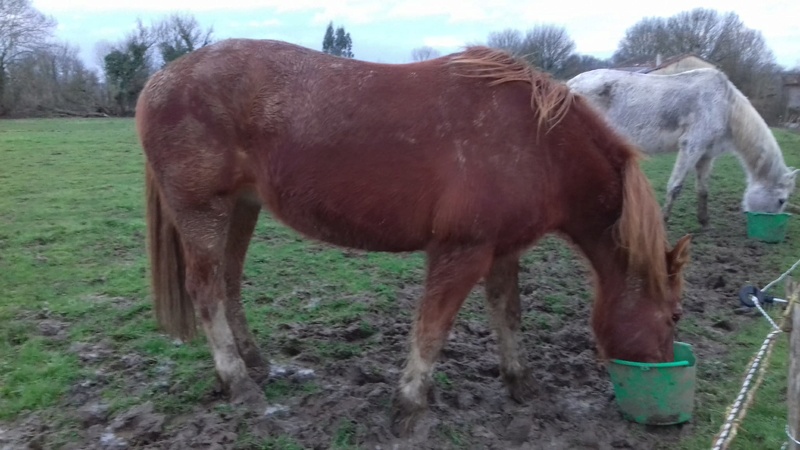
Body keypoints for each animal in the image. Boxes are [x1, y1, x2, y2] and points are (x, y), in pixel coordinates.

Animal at [134, 39, 692, 436]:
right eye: (673, 316)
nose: (662, 376)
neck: (536, 142)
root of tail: (161, 79)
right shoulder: (461, 253)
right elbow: (432, 330)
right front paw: (408, 407)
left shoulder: (502, 251)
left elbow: (508, 316)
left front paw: (521, 384)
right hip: (203, 211)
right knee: (207, 292)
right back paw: (239, 385)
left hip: (241, 208)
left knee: (229, 284)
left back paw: (255, 365)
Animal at [564, 68, 796, 227]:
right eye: (781, 200)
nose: (770, 224)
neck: (725, 107)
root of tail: (571, 83)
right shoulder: (692, 146)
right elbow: (675, 186)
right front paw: (663, 220)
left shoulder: (706, 155)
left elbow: (703, 189)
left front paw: (704, 220)